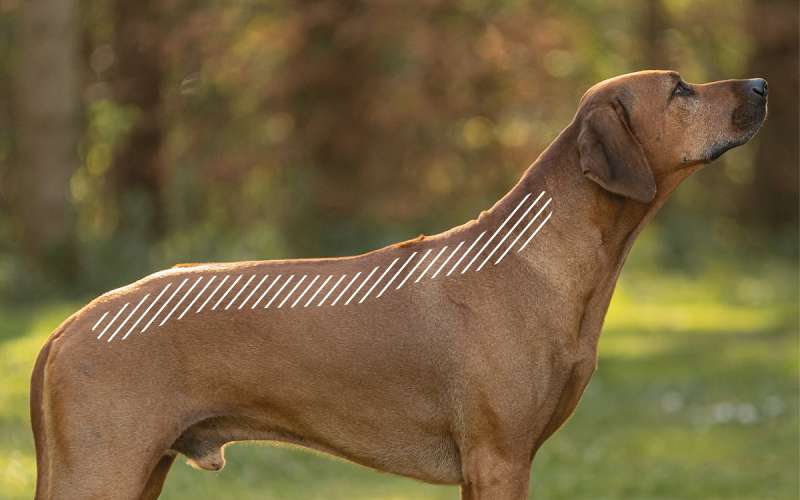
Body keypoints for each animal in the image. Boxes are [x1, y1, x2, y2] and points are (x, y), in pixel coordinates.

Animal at [29, 71, 768, 500]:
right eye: (680, 90)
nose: (762, 85)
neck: (542, 257)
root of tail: (68, 325)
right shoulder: (499, 458)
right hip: (101, 468)